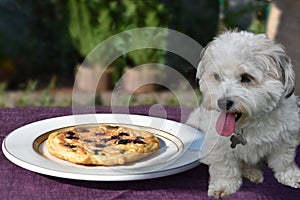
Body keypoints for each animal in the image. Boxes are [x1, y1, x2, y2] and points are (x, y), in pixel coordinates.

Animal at [188, 31, 300, 198]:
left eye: (246, 78)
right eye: (217, 76)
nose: (223, 102)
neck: (248, 123)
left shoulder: (286, 136)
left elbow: (284, 160)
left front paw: (290, 175)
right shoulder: (219, 145)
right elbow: (224, 167)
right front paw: (224, 185)